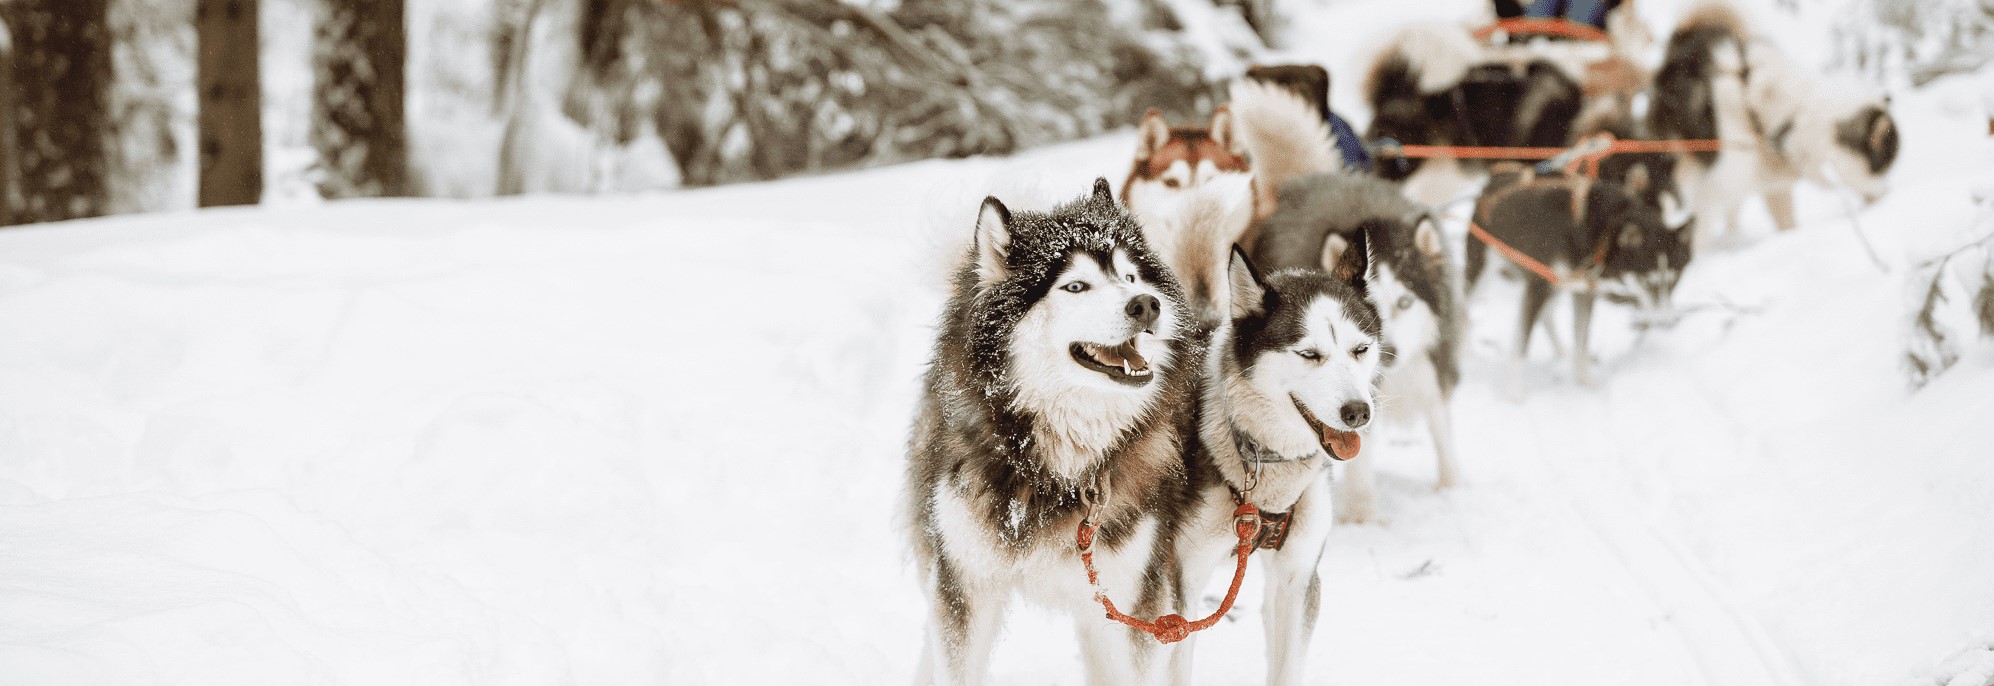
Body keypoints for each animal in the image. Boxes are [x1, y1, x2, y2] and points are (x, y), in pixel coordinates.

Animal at [905, 179, 1196, 682]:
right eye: (1075, 285)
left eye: (1131, 278)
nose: (1146, 304)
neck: (1057, 471)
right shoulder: (965, 585)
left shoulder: (1137, 604)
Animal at [1467, 162, 1682, 396]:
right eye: (1649, 282)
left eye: (1673, 282)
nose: (1670, 323)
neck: (1596, 230)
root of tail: (1494, 179)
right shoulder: (1539, 287)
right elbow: (1521, 347)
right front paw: (1514, 393)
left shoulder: (1584, 293)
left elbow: (1582, 342)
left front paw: (1585, 382)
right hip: (1482, 272)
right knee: (1464, 311)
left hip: (1557, 286)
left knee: (1547, 316)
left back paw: (1561, 351)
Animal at [1651, 4, 1898, 250]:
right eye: (1883, 167)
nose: (1889, 195)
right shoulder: (1712, 194)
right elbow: (1697, 238)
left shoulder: (1776, 189)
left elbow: (1787, 225)